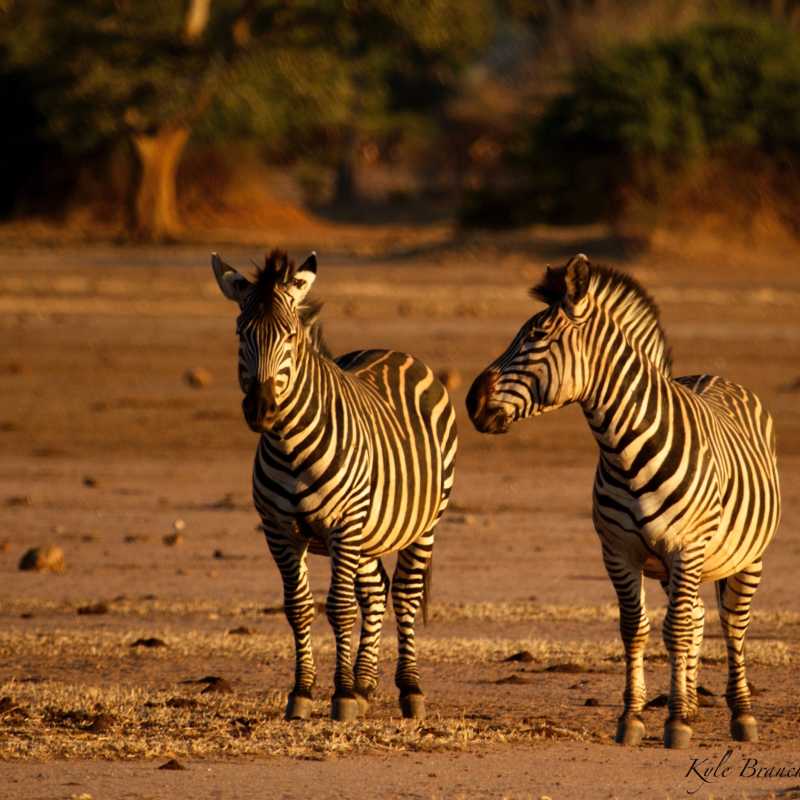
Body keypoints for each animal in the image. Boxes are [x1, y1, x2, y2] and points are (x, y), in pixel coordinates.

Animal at [212, 249, 457, 722]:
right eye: (239, 332)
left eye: (289, 336)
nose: (261, 409)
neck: (289, 445)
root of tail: (393, 351)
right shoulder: (279, 530)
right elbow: (298, 608)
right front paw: (303, 693)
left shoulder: (343, 524)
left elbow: (340, 608)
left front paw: (340, 696)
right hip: (368, 532)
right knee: (376, 591)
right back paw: (364, 685)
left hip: (423, 523)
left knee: (405, 595)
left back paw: (408, 689)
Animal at [466, 254, 780, 749]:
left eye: (536, 337)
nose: (470, 402)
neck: (624, 448)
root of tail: (712, 375)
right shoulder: (617, 551)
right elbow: (636, 629)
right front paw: (635, 718)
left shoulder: (685, 549)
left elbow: (676, 629)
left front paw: (675, 723)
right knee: (696, 617)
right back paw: (692, 702)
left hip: (746, 557)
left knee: (732, 625)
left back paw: (741, 715)